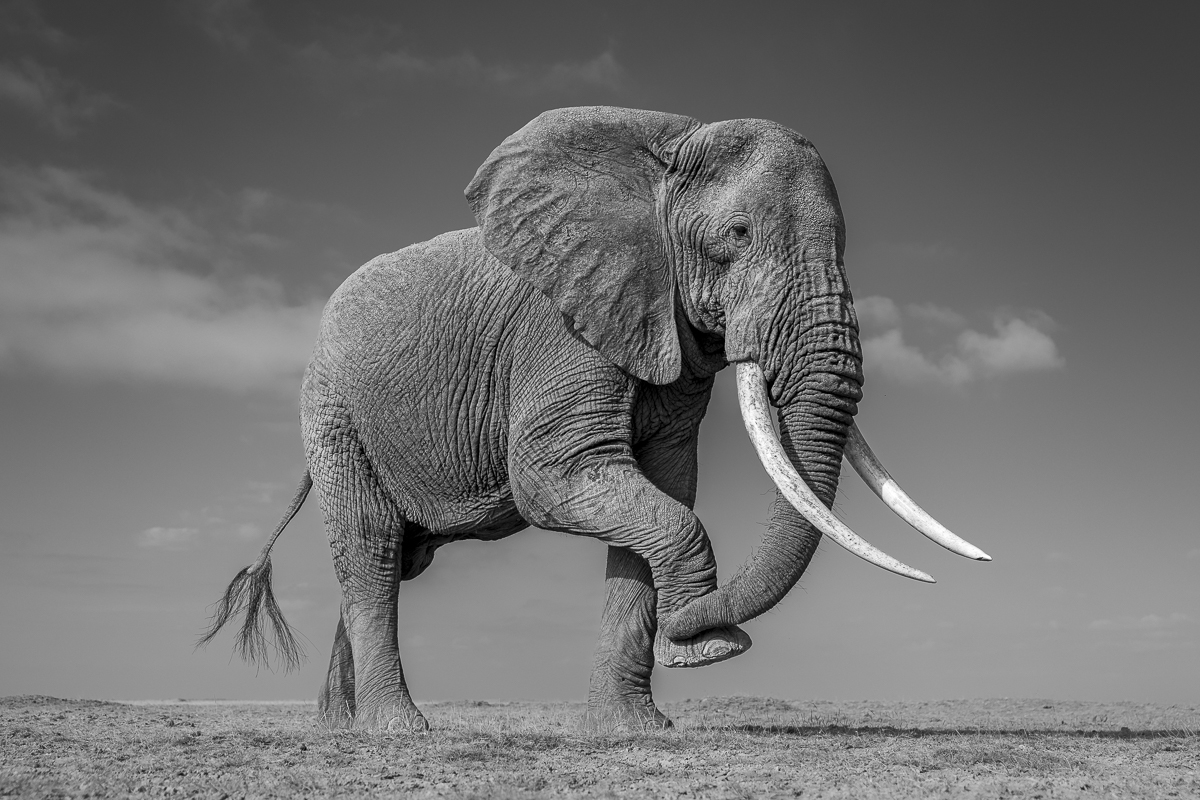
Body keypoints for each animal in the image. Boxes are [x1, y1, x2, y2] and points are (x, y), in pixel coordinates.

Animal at [200, 106, 989, 731]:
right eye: (736, 234)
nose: (706, 628)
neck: (664, 148)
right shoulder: (558, 330)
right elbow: (559, 479)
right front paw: (708, 648)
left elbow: (665, 490)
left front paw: (635, 727)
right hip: (335, 413)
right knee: (368, 549)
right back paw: (398, 730)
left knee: (395, 560)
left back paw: (344, 728)